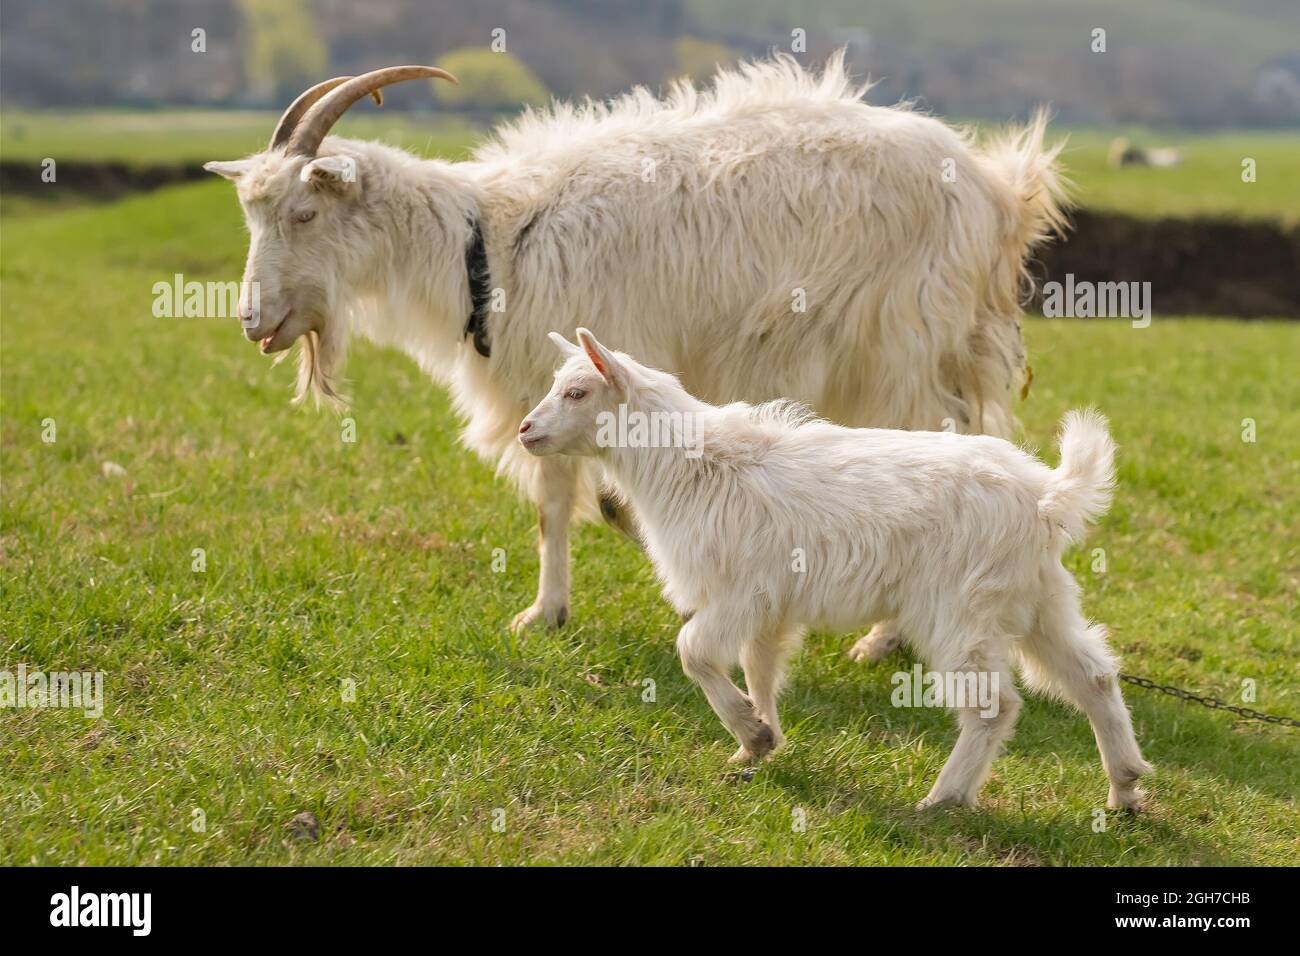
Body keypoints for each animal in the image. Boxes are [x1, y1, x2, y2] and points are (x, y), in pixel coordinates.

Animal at [208, 52, 1071, 639]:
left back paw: (887, 637)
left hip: (901, 344)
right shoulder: (548, 385)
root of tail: (1000, 193)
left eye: (304, 215)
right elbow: (555, 503)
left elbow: (574, 497)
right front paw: (549, 610)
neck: (491, 244)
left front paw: (564, 601)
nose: (252, 322)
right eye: (250, 214)